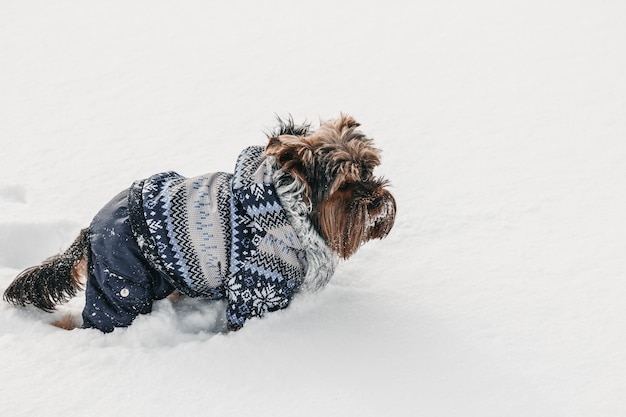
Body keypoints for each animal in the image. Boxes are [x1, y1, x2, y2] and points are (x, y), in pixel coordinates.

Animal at [2, 114, 394, 332]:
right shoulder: (255, 286)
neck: (294, 208)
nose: (377, 199)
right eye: (346, 186)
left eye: (369, 169)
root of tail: (90, 230)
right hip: (122, 282)